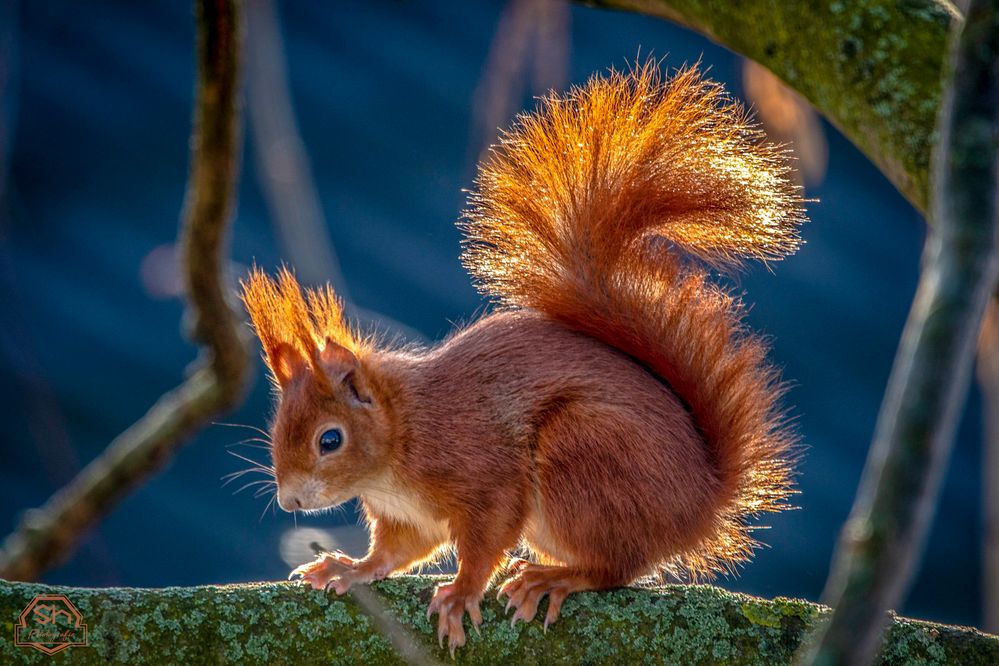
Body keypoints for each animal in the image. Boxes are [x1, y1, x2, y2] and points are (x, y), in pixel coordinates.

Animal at [240, 63, 804, 652]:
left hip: (584, 455)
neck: (400, 444)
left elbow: (486, 538)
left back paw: (552, 578)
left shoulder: (482, 471)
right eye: (278, 428)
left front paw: (461, 594)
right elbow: (395, 553)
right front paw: (349, 568)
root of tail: (701, 504)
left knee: (616, 567)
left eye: (330, 440)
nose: (289, 502)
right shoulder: (407, 517)